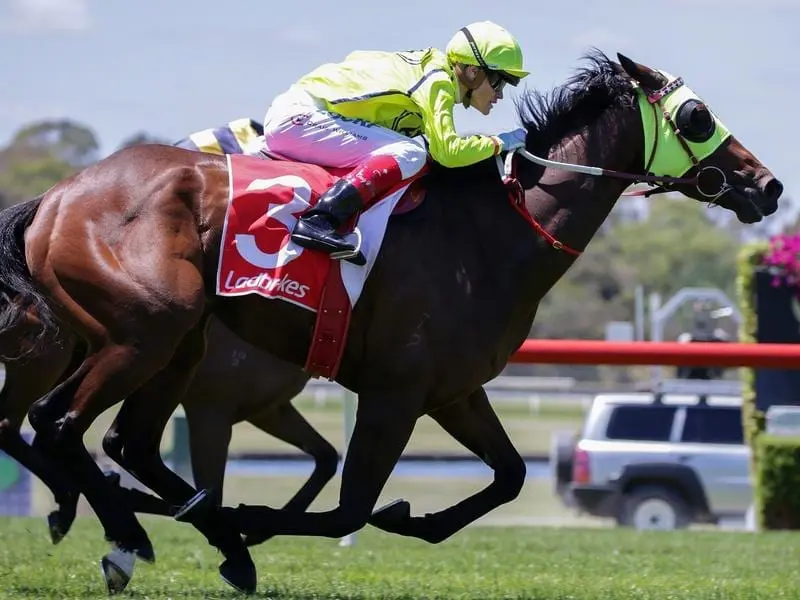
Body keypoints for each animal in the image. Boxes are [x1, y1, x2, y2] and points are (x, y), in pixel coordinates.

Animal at [0, 52, 780, 592]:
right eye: (697, 117)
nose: (768, 185)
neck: (495, 228)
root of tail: (56, 197)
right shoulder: (393, 392)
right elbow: (349, 510)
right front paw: (261, 521)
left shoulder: (453, 391)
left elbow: (509, 476)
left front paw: (413, 518)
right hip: (147, 332)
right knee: (61, 423)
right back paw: (148, 531)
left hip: (179, 343)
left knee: (123, 441)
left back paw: (168, 531)